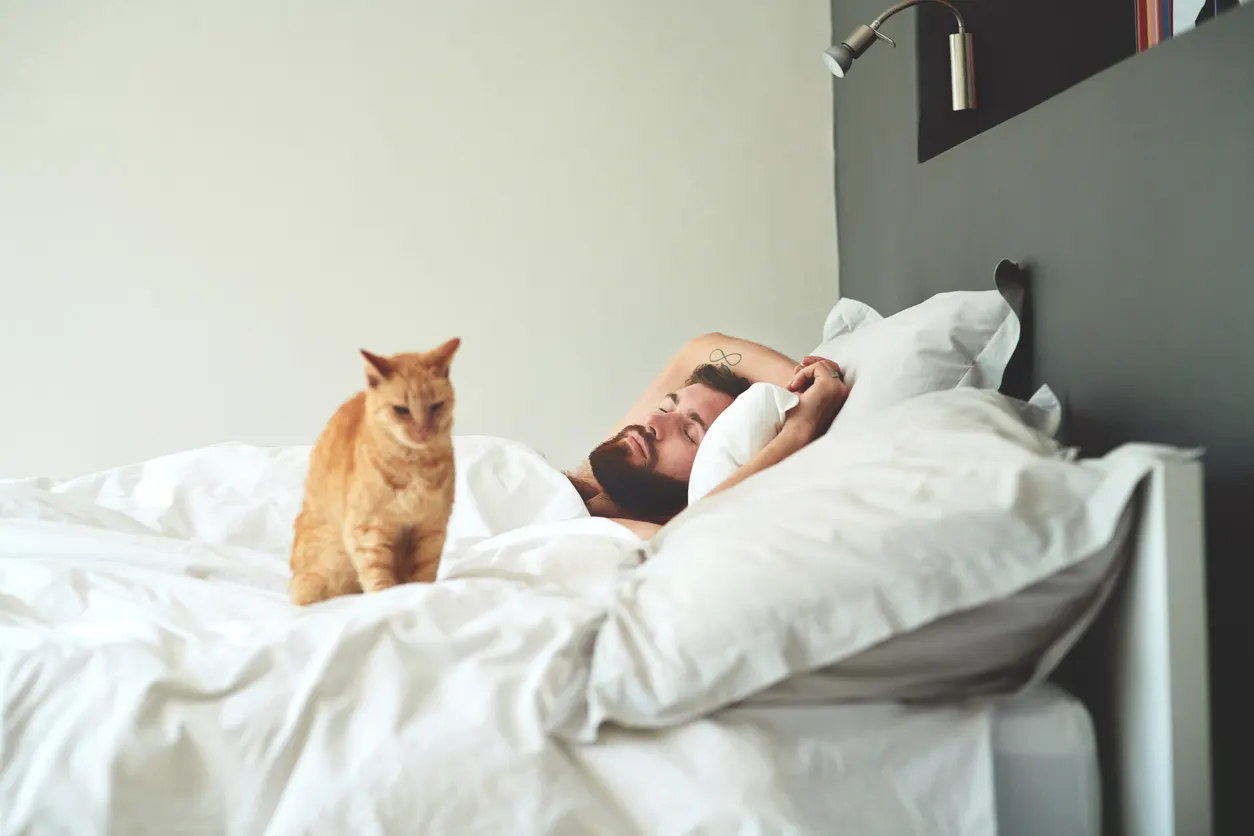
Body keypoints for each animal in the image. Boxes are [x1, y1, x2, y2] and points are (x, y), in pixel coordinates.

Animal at [288, 340, 461, 609]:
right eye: (402, 410)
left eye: (436, 406)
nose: (423, 432)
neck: (415, 466)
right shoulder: (368, 529)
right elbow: (377, 573)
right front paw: (386, 598)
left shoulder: (430, 528)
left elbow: (424, 571)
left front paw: (421, 594)